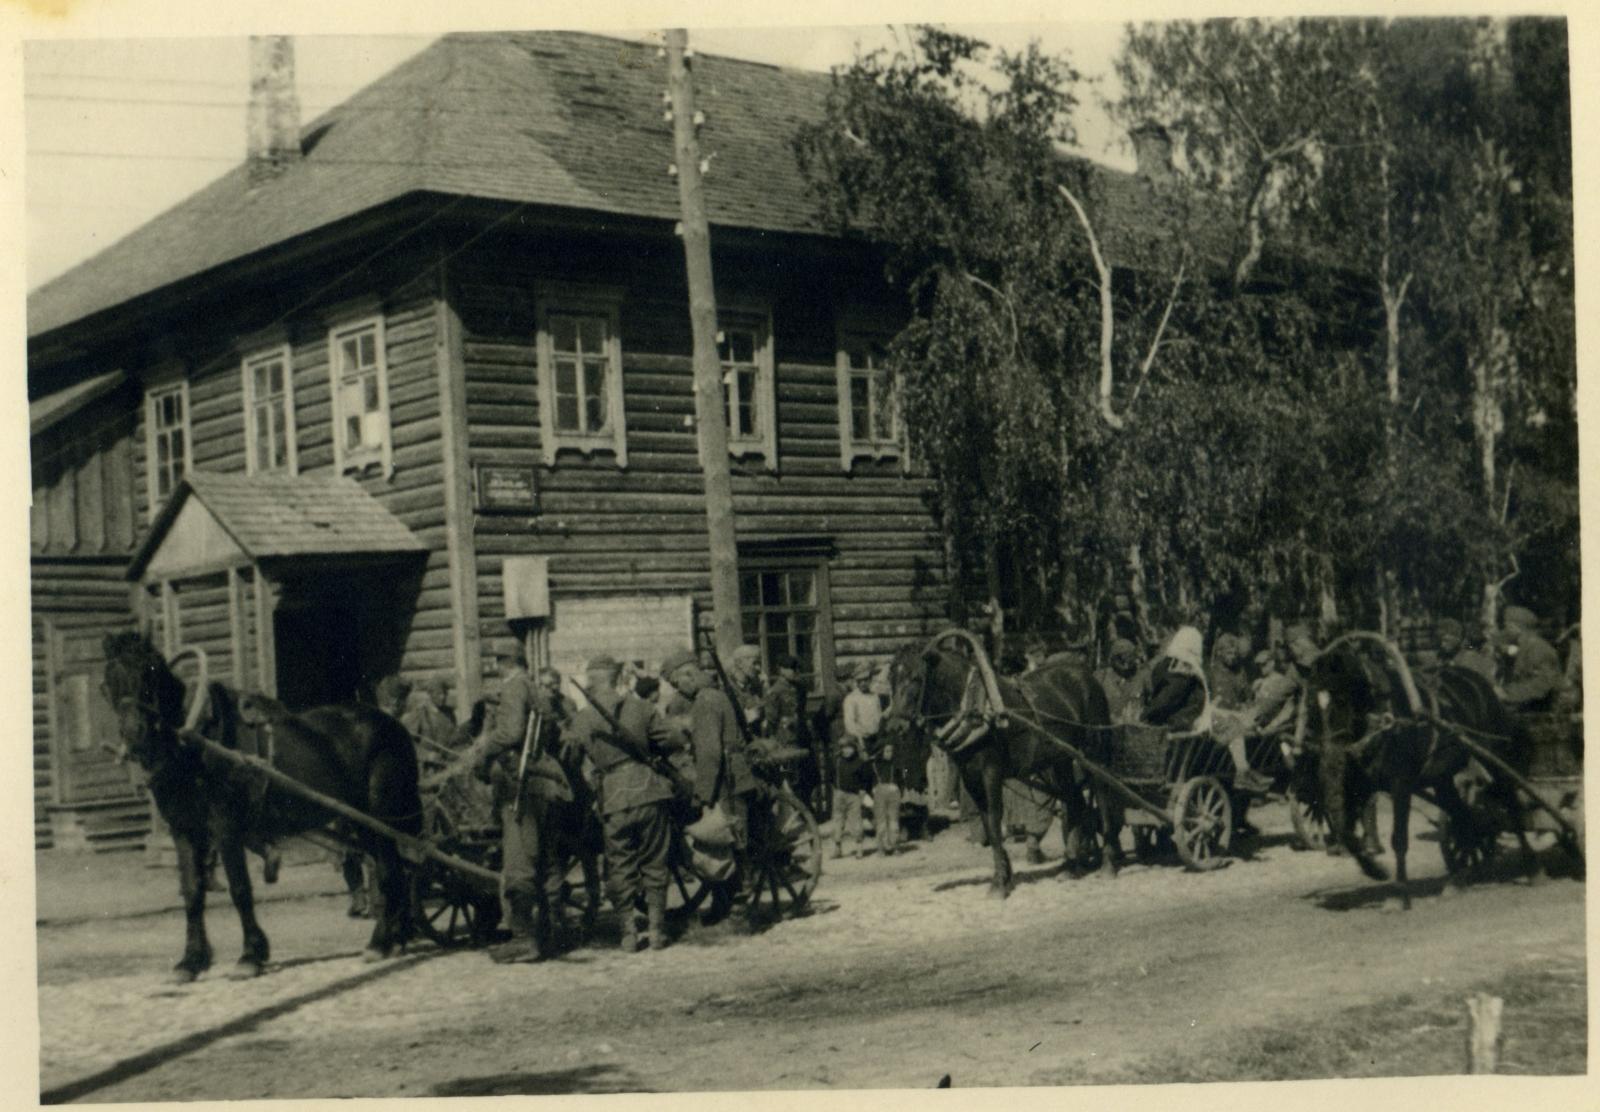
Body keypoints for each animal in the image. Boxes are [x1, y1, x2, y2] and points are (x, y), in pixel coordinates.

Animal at [103, 633, 422, 985]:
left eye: (150, 673)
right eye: (107, 684)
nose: (136, 736)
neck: (193, 743)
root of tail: (393, 724)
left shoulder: (225, 828)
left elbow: (240, 889)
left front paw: (250, 956)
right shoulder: (184, 831)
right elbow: (192, 892)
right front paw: (190, 961)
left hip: (381, 815)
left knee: (391, 871)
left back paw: (380, 943)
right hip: (362, 823)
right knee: (395, 870)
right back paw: (397, 936)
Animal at [889, 633, 1113, 896]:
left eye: (916, 678)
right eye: (892, 679)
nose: (896, 726)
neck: (974, 706)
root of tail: (1088, 675)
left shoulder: (991, 773)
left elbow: (996, 824)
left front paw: (1000, 885)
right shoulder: (970, 778)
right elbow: (987, 824)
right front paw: (1003, 876)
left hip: (1094, 753)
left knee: (1103, 799)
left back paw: (1108, 862)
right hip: (1062, 760)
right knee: (1075, 802)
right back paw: (1071, 865)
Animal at [1312, 640, 1536, 908]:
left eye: (1343, 700)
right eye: (1316, 706)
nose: (1330, 752)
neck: (1383, 720)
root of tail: (1479, 682)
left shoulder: (1401, 785)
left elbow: (1398, 839)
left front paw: (1399, 894)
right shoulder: (1362, 784)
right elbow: (1345, 831)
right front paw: (1375, 870)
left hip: (1492, 756)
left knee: (1510, 801)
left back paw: (1531, 866)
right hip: (1443, 778)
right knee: (1462, 815)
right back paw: (1459, 877)